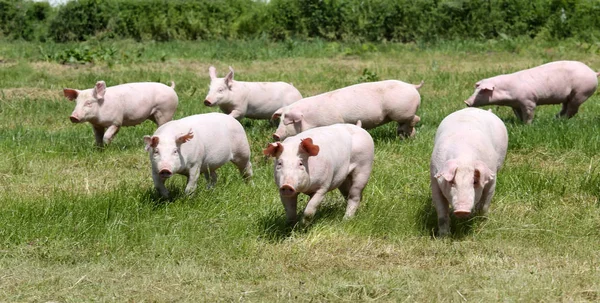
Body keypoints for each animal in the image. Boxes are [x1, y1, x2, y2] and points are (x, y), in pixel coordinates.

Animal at [272, 79, 422, 141]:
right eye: (280, 120)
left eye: (289, 122)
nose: (275, 135)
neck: (309, 118)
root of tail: (412, 86)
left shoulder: (333, 119)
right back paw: (405, 137)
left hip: (401, 112)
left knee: (415, 119)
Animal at [428, 107, 508, 238]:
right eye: (452, 182)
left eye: (474, 182)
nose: (462, 210)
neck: (464, 158)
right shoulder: (434, 179)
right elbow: (442, 213)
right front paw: (444, 237)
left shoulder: (492, 178)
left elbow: (485, 203)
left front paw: (480, 221)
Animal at [466, 60, 596, 123]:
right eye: (476, 89)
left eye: (482, 91)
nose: (466, 102)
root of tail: (594, 72)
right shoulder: (515, 104)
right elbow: (518, 114)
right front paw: (519, 123)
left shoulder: (528, 101)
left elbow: (528, 114)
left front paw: (526, 126)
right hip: (568, 97)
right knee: (566, 107)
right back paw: (555, 118)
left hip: (581, 93)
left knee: (573, 109)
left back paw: (561, 120)